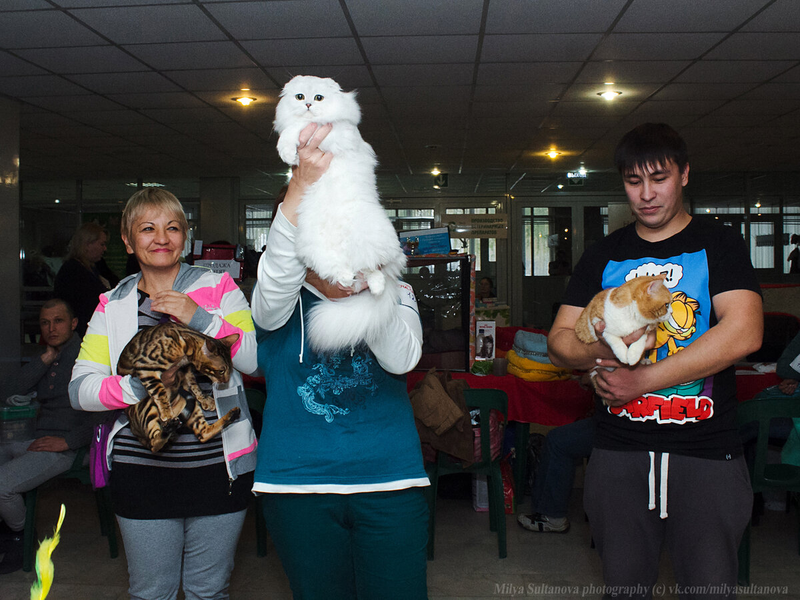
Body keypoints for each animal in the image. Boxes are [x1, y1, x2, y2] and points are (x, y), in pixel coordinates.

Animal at [116, 322, 241, 452]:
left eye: (230, 369)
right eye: (221, 371)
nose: (226, 381)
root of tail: (133, 428)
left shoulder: (185, 369)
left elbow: (194, 385)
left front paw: (205, 399)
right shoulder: (146, 366)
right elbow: (158, 390)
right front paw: (167, 412)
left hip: (192, 408)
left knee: (203, 434)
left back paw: (232, 415)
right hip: (147, 409)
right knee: (153, 445)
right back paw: (169, 424)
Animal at [276, 77, 410, 354]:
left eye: (318, 98)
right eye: (299, 96)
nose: (307, 104)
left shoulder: (334, 132)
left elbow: (297, 127)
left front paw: (288, 147)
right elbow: (293, 128)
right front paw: (288, 151)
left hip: (372, 242)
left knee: (375, 271)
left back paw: (375, 287)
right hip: (318, 246)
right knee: (340, 268)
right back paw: (348, 278)